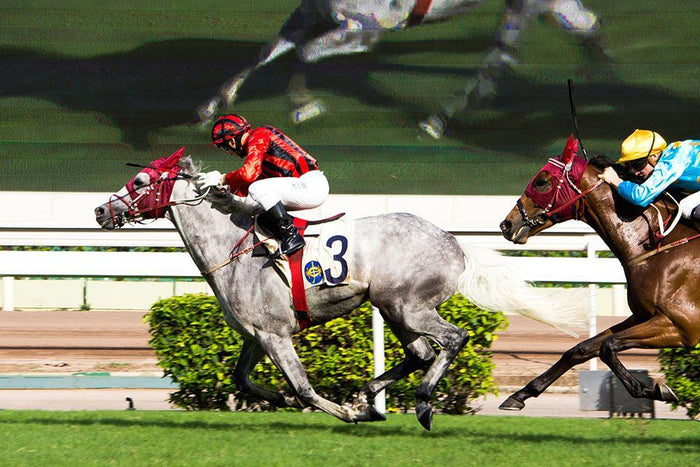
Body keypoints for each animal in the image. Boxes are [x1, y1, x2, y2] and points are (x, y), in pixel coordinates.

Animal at [94, 147, 582, 430]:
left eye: (139, 183)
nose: (100, 210)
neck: (234, 246)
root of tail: (453, 243)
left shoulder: (275, 334)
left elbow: (303, 388)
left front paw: (344, 412)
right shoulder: (256, 335)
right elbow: (243, 379)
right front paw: (277, 398)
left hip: (410, 307)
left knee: (452, 339)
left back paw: (420, 403)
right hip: (391, 307)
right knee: (420, 353)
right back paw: (373, 396)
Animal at [498, 135, 700, 411]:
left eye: (541, 180)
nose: (506, 224)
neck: (658, 244)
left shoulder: (683, 326)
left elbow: (607, 346)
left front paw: (656, 390)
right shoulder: (643, 316)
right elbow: (581, 348)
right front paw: (520, 394)